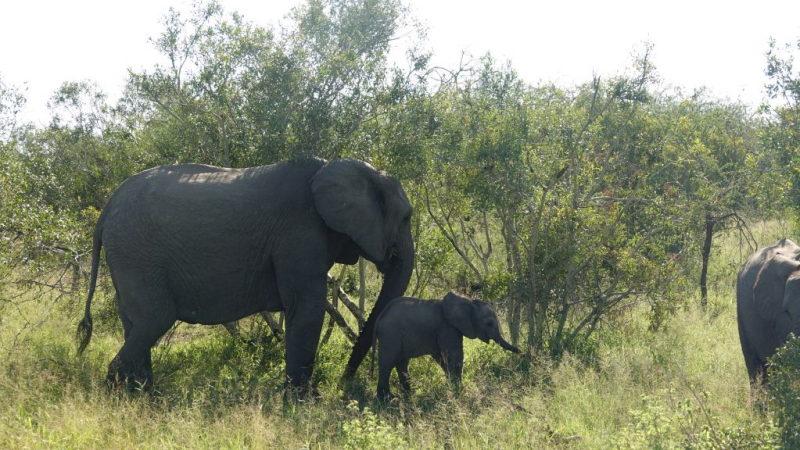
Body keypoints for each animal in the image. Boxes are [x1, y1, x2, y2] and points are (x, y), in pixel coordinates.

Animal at [76, 157, 416, 390]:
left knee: (135, 323)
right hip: (137, 250)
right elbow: (307, 307)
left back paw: (144, 394)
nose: (346, 382)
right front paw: (304, 403)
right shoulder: (299, 234)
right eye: (406, 218)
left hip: (129, 253)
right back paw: (120, 394)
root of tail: (106, 210)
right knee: (155, 319)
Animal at [372, 294, 520, 400]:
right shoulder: (447, 328)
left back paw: (408, 396)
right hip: (390, 335)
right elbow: (454, 358)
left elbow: (442, 358)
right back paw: (388, 399)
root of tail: (380, 317)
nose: (521, 351)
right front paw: (458, 391)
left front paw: (453, 388)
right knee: (387, 364)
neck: (468, 301)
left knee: (402, 364)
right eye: (489, 323)